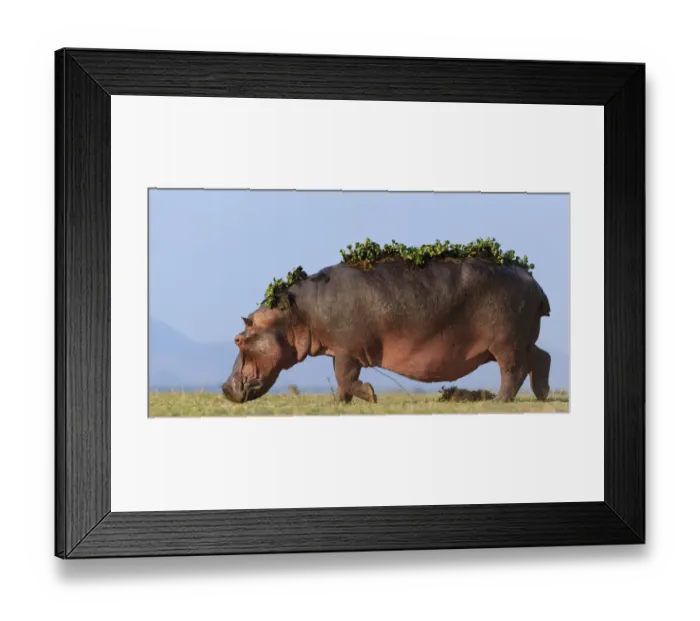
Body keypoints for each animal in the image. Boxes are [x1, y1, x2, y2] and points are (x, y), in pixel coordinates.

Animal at [222, 259, 551, 404]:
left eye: (238, 339)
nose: (225, 388)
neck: (293, 314)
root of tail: (535, 283)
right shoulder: (343, 349)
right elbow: (342, 381)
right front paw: (338, 404)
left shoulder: (347, 349)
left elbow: (345, 376)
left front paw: (369, 395)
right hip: (522, 338)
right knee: (541, 357)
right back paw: (542, 394)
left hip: (506, 341)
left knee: (513, 369)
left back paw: (500, 401)